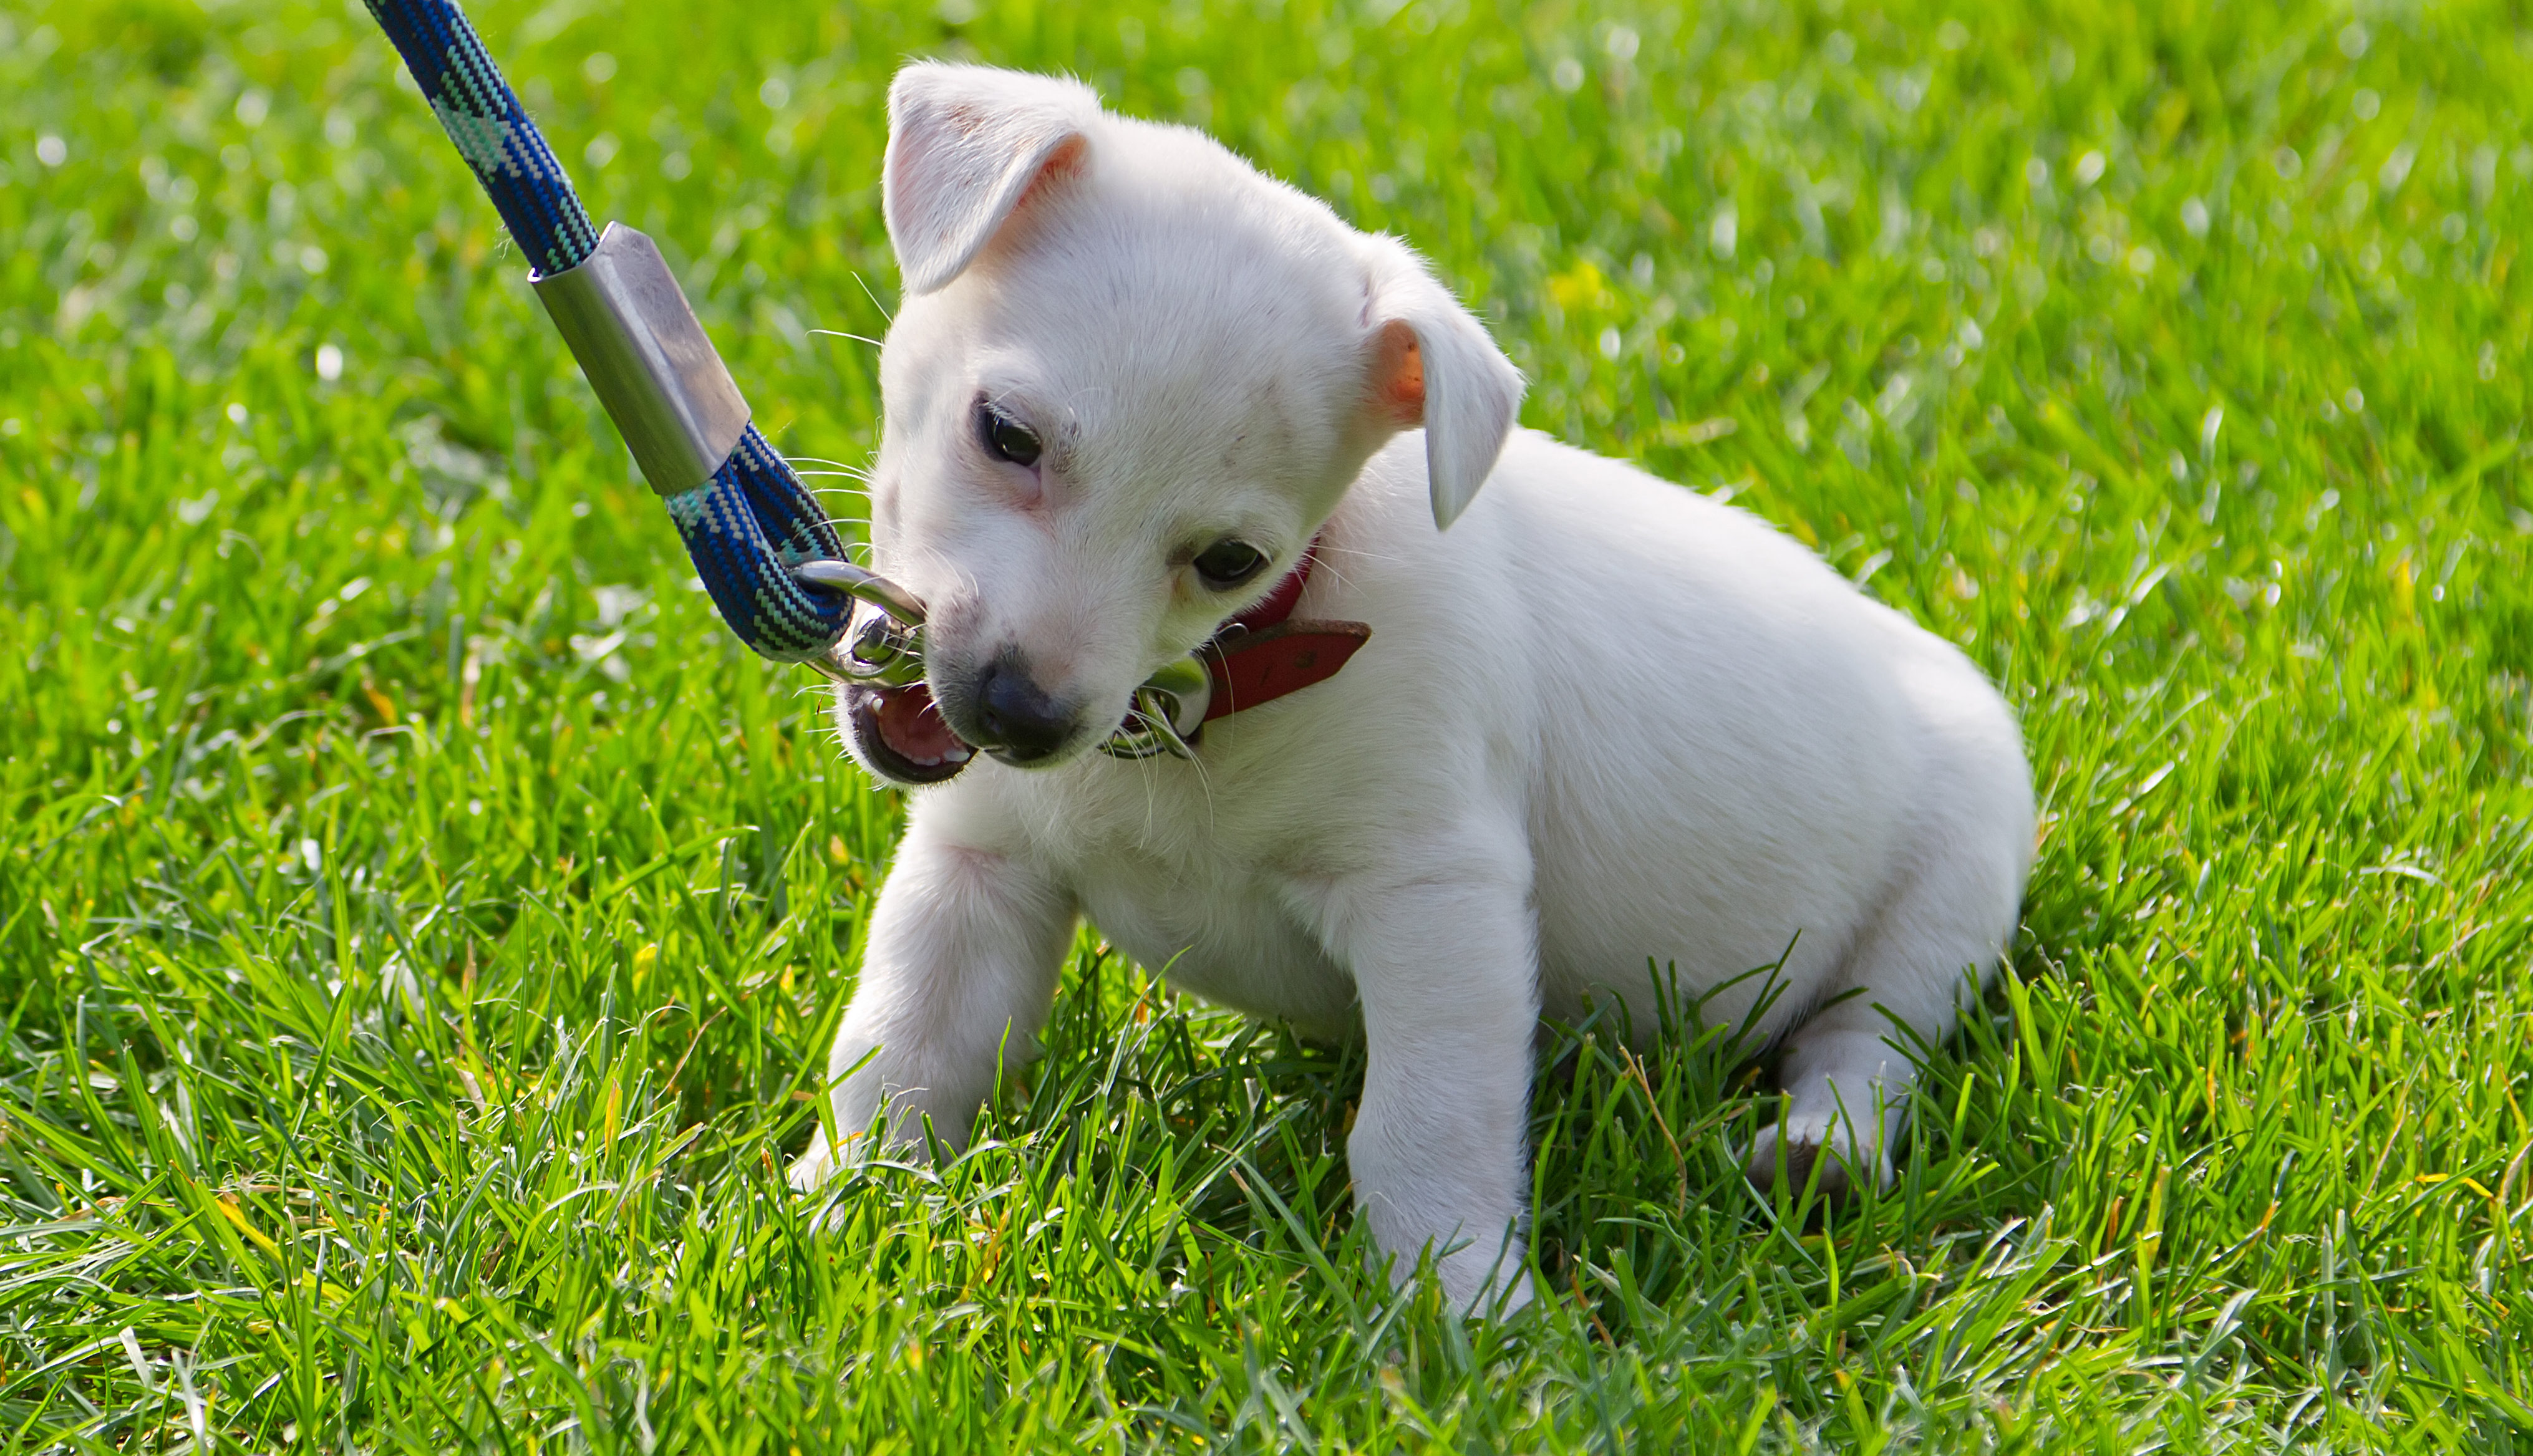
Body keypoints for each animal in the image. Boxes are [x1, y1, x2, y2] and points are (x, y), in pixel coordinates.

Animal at [795, 62, 2037, 1316]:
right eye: (1005, 433)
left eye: (1231, 560)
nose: (1015, 715)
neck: (1212, 692)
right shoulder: (978, 870)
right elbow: (903, 1045)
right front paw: (839, 1201)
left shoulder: (1435, 899)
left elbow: (1423, 1121)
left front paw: (1460, 1301)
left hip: (1951, 886)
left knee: (1867, 1037)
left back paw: (1820, 1150)